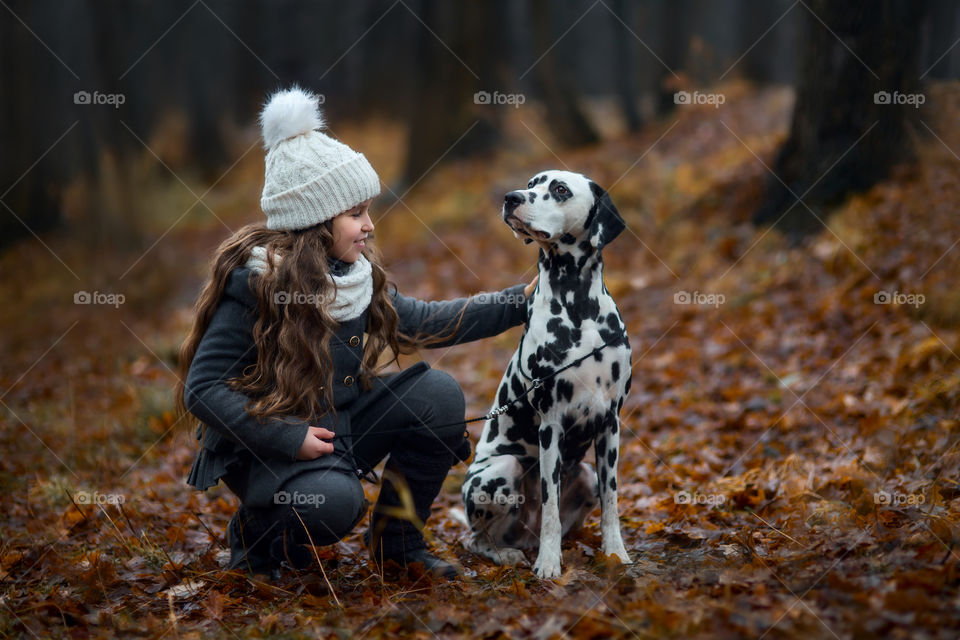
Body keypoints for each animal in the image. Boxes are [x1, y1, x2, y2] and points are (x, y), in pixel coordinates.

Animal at [464, 170, 632, 580]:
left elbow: (612, 500)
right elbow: (551, 505)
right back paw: (508, 554)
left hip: (586, 475)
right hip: (500, 471)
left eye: (559, 189)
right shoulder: (551, 424)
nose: (511, 198)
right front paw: (549, 563)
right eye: (531, 184)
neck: (578, 306)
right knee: (476, 540)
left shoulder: (610, 424)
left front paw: (615, 552)